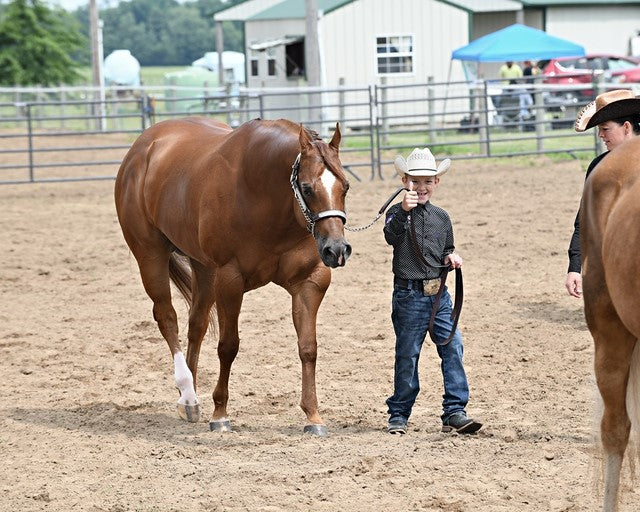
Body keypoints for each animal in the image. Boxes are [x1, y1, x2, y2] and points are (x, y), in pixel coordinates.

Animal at [114, 117, 352, 436]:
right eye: (307, 188)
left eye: (345, 186)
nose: (336, 249)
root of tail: (143, 146)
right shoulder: (230, 281)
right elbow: (228, 347)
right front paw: (220, 414)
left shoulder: (310, 282)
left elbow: (308, 348)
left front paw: (313, 416)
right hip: (150, 256)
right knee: (167, 318)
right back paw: (188, 394)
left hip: (203, 267)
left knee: (196, 324)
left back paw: (189, 397)